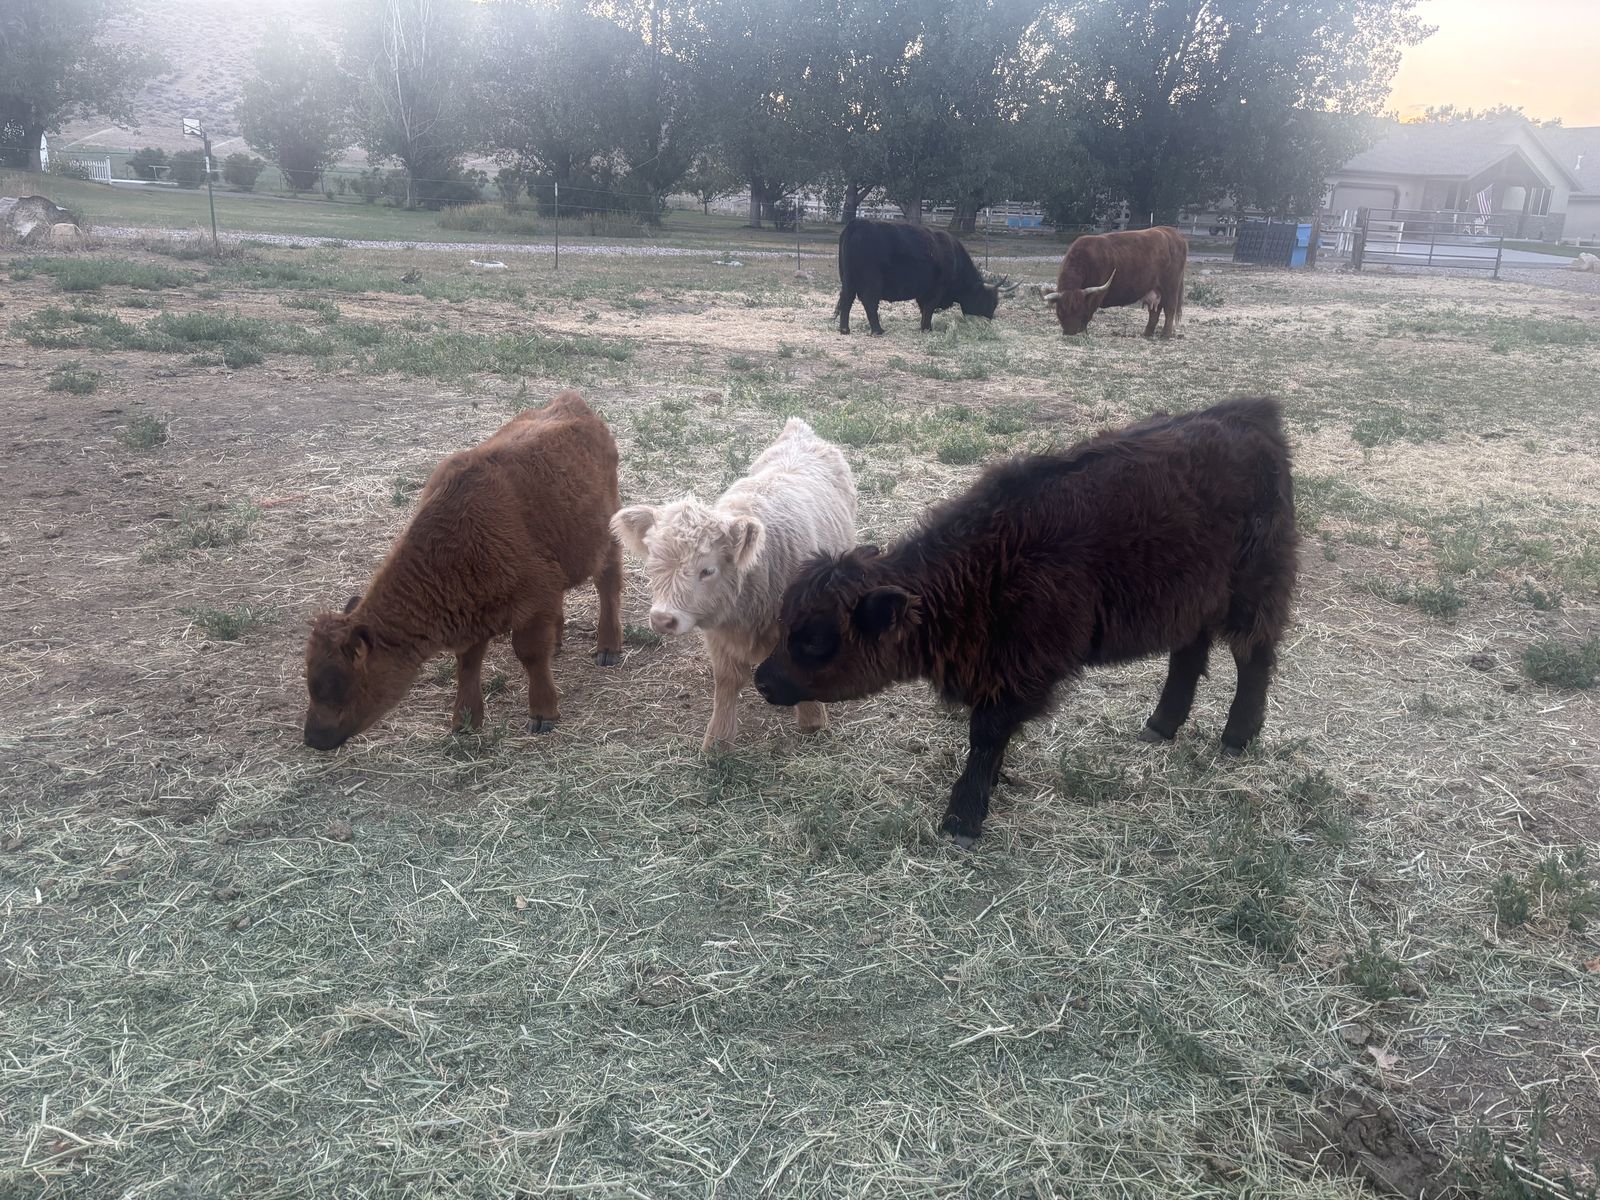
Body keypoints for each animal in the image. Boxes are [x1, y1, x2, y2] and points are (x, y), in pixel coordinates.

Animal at [302, 390, 624, 750]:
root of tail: (572, 402)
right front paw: (465, 721)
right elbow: (468, 662)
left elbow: (528, 654)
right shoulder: (480, 609)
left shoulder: (532, 598)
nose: (311, 738)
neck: (457, 539)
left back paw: (608, 648)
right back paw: (557, 642)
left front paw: (542, 714)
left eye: (338, 684)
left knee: (608, 583)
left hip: (607, 535)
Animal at [611, 419, 856, 751]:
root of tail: (801, 431)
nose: (662, 619)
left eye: (707, 570)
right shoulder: (720, 635)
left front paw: (813, 721)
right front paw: (718, 740)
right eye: (653, 566)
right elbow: (727, 681)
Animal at [754, 397, 1297, 847]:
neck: (986, 566)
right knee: (1189, 654)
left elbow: (986, 735)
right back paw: (1161, 725)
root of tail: (1252, 412)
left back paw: (1237, 736)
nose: (761, 680)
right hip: (1192, 600)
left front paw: (963, 817)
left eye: (815, 639)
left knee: (1254, 656)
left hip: (1254, 590)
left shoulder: (1019, 671)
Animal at [834, 217, 1016, 335]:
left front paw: (924, 326)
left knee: (846, 298)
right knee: (869, 301)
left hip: (848, 279)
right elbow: (929, 307)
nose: (990, 319)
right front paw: (927, 328)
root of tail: (858, 223)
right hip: (872, 280)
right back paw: (877, 330)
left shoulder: (923, 291)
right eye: (990, 301)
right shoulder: (937, 288)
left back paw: (844, 329)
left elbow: (924, 308)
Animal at [1043, 226, 1188, 338]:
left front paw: (1084, 332)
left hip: (1171, 287)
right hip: (1155, 289)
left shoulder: (1097, 294)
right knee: (1155, 311)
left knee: (1169, 309)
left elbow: (1089, 312)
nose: (1070, 333)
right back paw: (1147, 333)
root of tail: (1170, 231)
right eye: (1061, 311)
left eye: (1079, 311)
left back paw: (1165, 335)